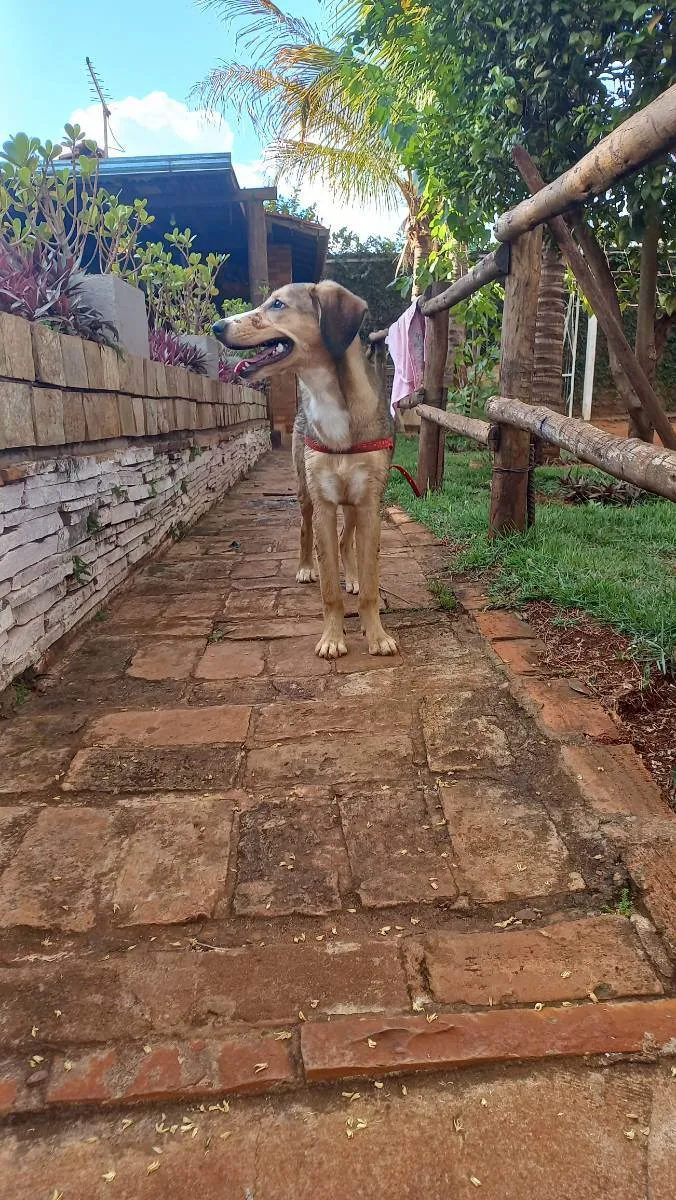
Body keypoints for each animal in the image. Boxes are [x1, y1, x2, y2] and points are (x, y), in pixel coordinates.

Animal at [213, 277, 398, 662]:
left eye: (278, 304)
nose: (216, 326)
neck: (331, 401)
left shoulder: (369, 504)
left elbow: (370, 584)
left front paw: (375, 635)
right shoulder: (324, 504)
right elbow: (329, 590)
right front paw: (332, 637)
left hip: (353, 505)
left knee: (346, 541)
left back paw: (351, 576)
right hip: (305, 495)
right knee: (304, 531)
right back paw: (304, 568)